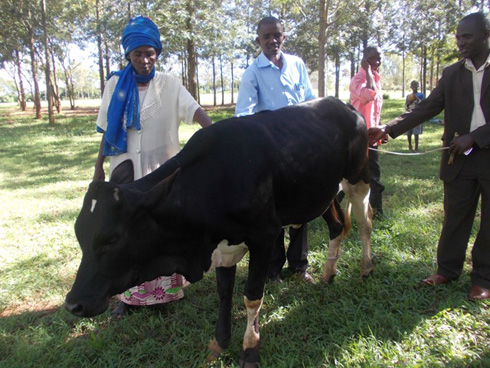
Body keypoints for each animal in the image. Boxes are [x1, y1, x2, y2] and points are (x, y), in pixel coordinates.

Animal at [64, 96, 372, 366]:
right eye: (79, 234)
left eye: (112, 239)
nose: (73, 304)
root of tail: (345, 106)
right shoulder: (222, 245)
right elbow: (225, 293)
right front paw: (218, 345)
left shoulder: (264, 236)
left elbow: (252, 296)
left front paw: (249, 350)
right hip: (323, 193)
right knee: (337, 227)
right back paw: (328, 274)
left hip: (357, 179)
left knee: (364, 224)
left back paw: (366, 268)